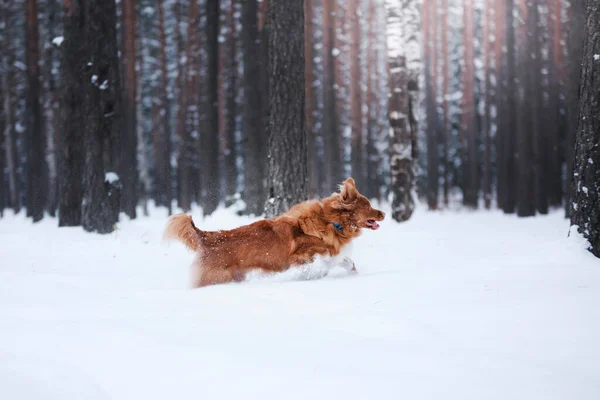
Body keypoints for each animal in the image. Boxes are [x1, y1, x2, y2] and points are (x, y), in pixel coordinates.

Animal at [165, 178, 384, 288]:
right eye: (368, 206)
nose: (383, 213)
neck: (331, 222)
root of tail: (206, 236)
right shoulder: (301, 255)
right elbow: (321, 260)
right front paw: (315, 274)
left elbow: (346, 261)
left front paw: (354, 273)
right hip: (216, 277)